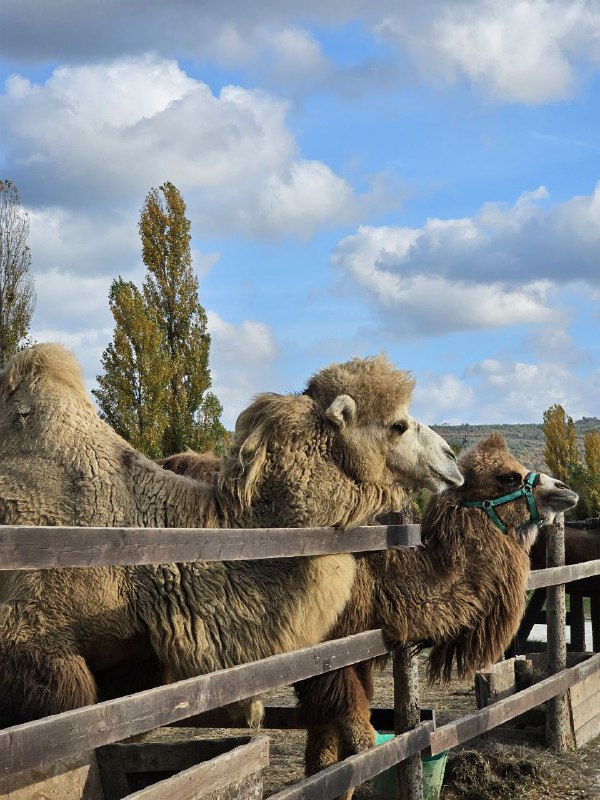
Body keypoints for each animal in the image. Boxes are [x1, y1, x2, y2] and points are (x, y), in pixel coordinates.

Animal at [292, 434, 580, 796]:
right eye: (508, 477)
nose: (566, 489)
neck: (378, 576)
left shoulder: (350, 660)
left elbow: (328, 759)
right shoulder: (323, 658)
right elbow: (351, 745)